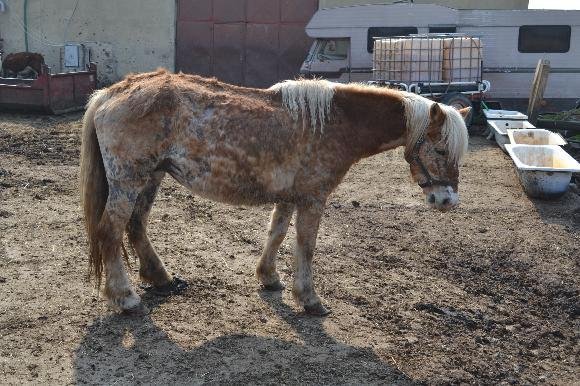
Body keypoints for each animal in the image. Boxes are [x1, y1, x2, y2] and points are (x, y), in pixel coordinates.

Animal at [80, 70, 472, 316]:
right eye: (440, 150)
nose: (446, 200)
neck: (336, 123)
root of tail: (110, 93)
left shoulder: (289, 196)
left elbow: (277, 232)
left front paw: (268, 277)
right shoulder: (313, 198)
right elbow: (306, 246)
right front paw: (309, 299)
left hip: (150, 177)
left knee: (136, 226)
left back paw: (159, 278)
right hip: (129, 180)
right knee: (110, 232)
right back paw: (125, 298)